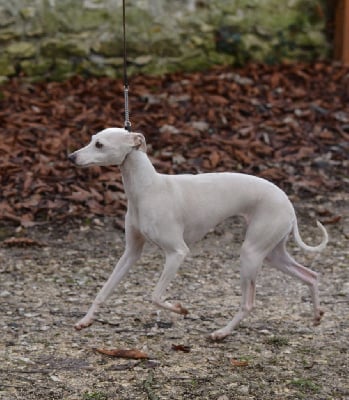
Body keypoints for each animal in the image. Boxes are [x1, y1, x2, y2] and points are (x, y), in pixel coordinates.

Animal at [67, 128, 326, 340]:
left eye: (99, 144)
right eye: (91, 139)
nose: (71, 157)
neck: (147, 189)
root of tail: (287, 202)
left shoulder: (177, 253)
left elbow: (155, 296)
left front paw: (180, 309)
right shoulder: (131, 253)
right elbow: (104, 290)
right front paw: (86, 320)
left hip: (251, 253)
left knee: (248, 303)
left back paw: (222, 332)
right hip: (272, 253)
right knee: (311, 275)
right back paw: (316, 316)